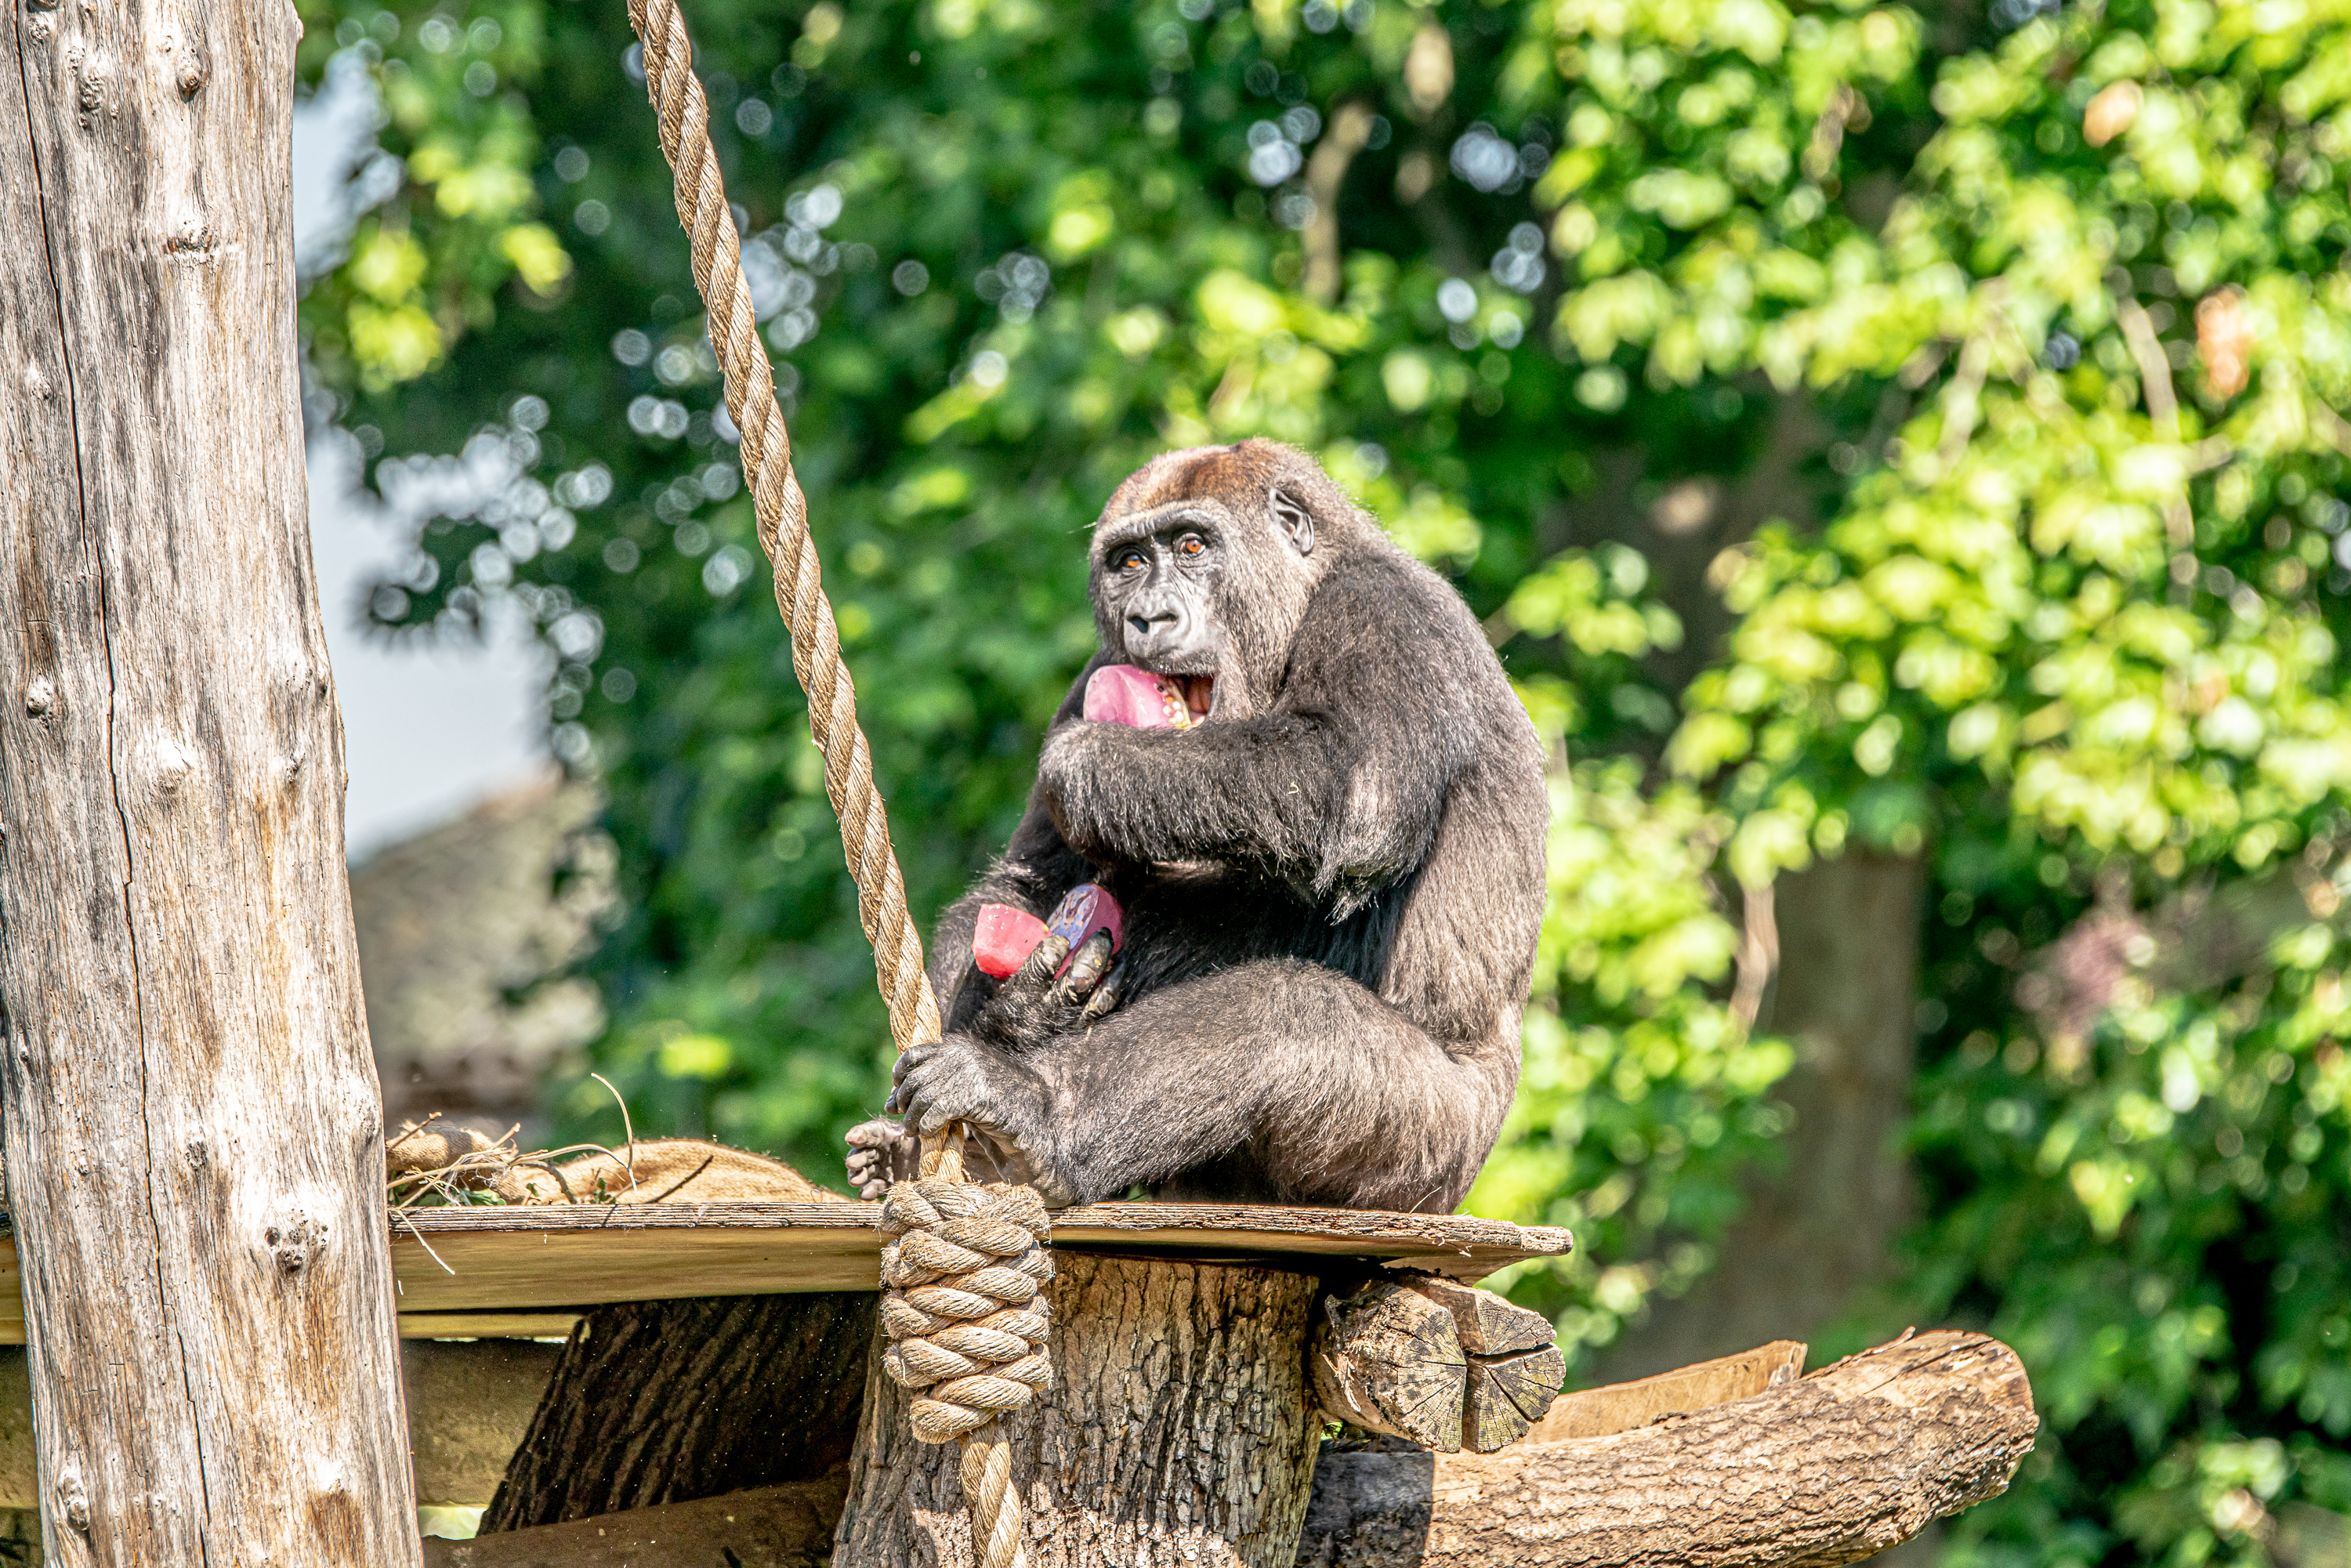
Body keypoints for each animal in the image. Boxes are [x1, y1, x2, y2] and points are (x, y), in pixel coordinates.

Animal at [846, 442, 1542, 1213]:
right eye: (1128, 562)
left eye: (1191, 546)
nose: (1149, 618)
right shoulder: (1098, 666)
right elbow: (1020, 886)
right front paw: (1022, 1009)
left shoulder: (1388, 609)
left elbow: (1350, 788)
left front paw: (1086, 764)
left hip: (1438, 1154)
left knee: (1287, 1016)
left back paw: (1033, 1114)